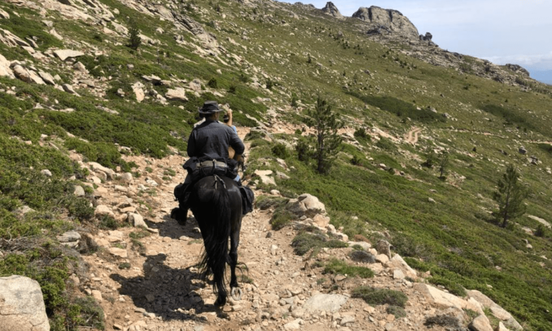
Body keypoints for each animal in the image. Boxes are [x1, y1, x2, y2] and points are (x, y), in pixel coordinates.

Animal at [189, 175, 243, 308]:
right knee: (233, 254)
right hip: (236, 225)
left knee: (214, 256)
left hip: (206, 226)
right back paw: (233, 285)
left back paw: (220, 298)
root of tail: (219, 186)